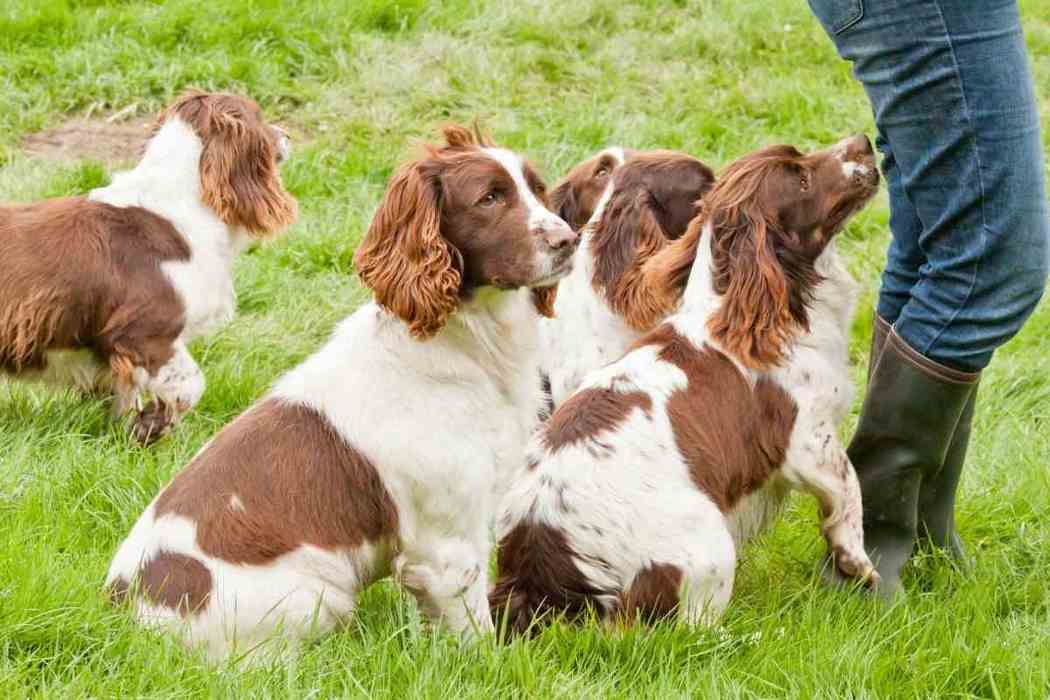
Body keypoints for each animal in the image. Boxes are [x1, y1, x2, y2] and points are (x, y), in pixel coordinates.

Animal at [1, 90, 296, 442]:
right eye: (260, 116)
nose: (288, 135)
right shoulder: (145, 333)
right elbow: (189, 386)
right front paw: (151, 426)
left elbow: (125, 394)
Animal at [105, 127, 579, 663]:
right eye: (490, 198)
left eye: (537, 190)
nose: (569, 239)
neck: (464, 345)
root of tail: (127, 609)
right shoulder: (446, 543)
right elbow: (472, 633)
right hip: (318, 596)